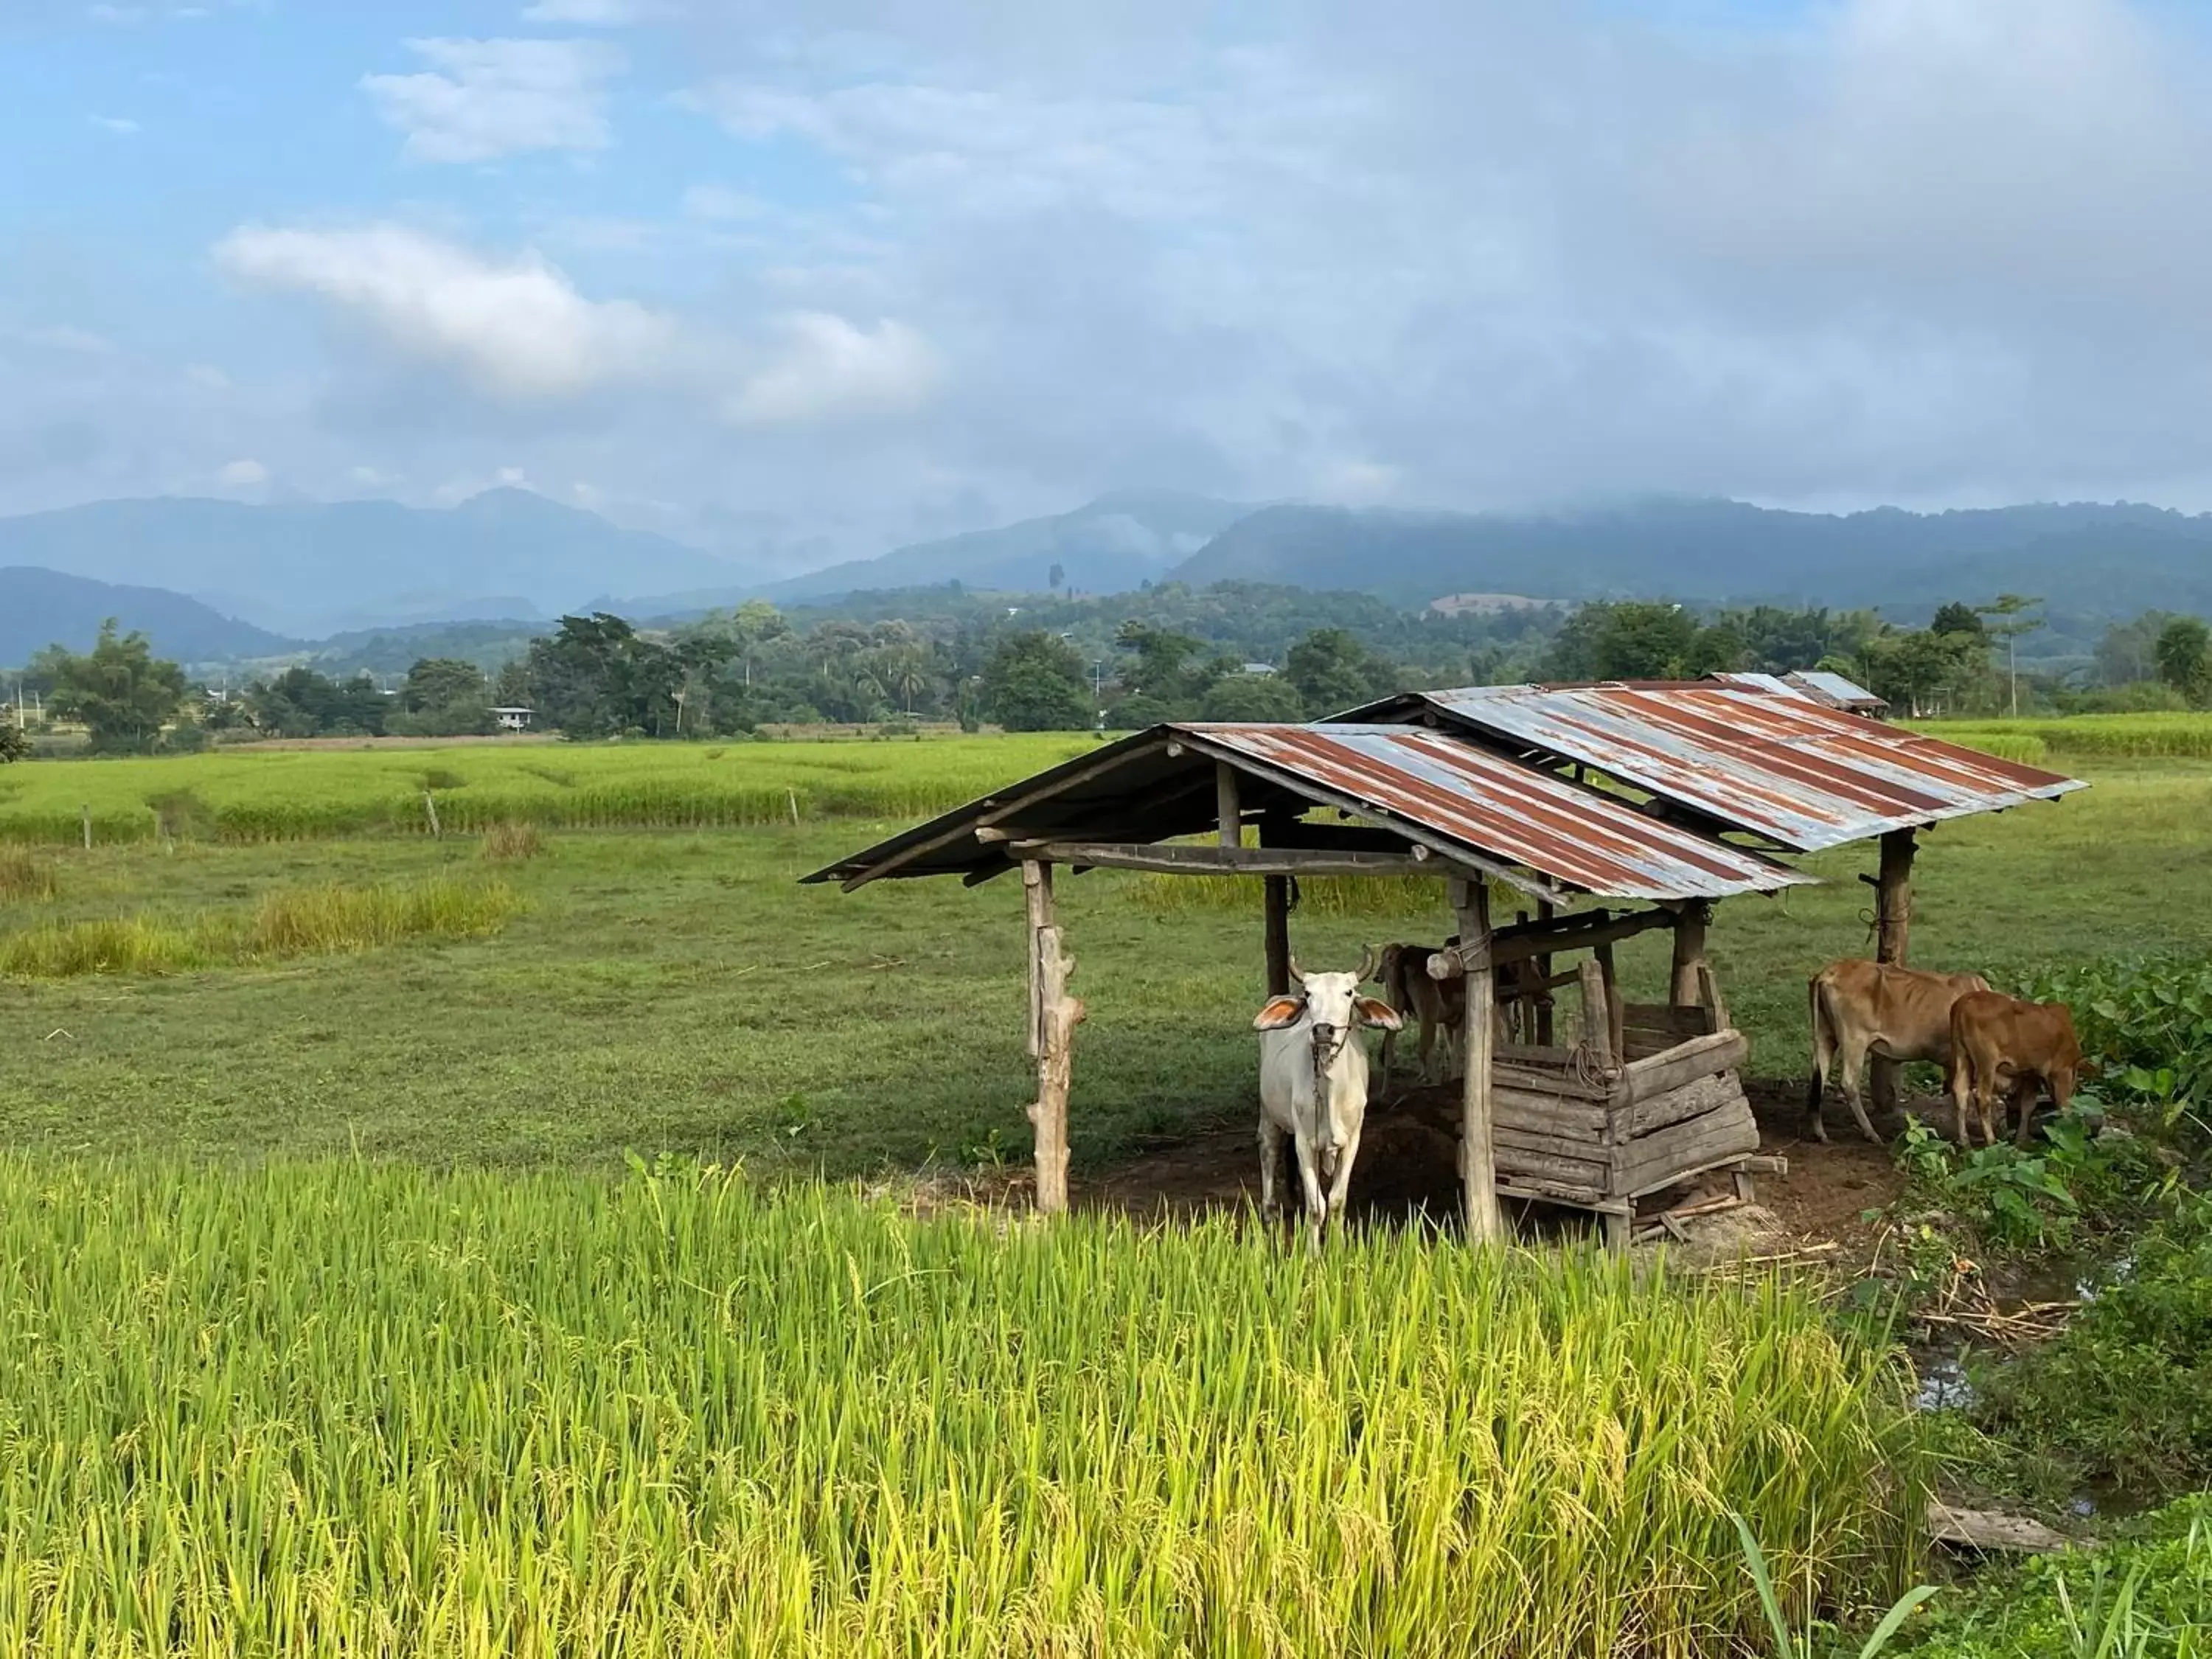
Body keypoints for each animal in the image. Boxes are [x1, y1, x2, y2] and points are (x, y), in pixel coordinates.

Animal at [1256, 956, 1407, 1256]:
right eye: (1308, 994)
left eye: (1348, 992)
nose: (1323, 1030)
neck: (1331, 1091)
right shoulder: (1305, 1143)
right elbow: (1317, 1206)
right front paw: (1314, 1255)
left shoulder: (1352, 1141)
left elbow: (1337, 1201)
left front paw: (1337, 1249)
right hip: (1268, 1112)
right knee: (1268, 1151)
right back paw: (1269, 1215)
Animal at [1805, 960, 2000, 1141]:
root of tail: (1828, 972)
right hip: (1854, 1040)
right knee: (1849, 1084)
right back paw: (1871, 1133)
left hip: (1825, 1035)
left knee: (1819, 1077)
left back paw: (1821, 1133)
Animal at [1947, 995, 2079, 1150]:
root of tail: (1965, 1000)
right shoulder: (2062, 1070)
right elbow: (2064, 1106)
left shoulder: (2031, 1074)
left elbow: (2028, 1105)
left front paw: (2021, 1140)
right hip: (1987, 1063)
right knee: (1982, 1097)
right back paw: (1992, 1141)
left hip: (1961, 1054)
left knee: (1960, 1091)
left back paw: (1965, 1142)